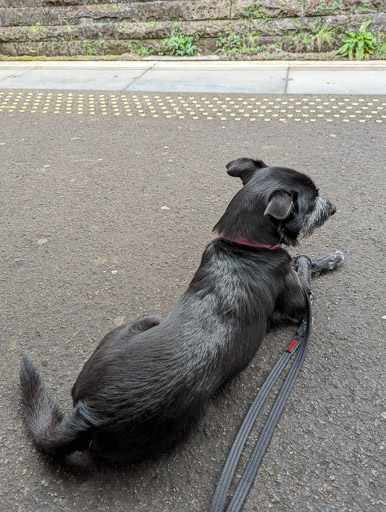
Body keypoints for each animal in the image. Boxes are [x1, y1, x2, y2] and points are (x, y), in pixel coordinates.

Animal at [19, 159, 342, 464]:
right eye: (312, 200)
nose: (335, 208)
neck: (244, 247)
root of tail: (90, 413)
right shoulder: (298, 305)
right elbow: (304, 266)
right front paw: (328, 259)